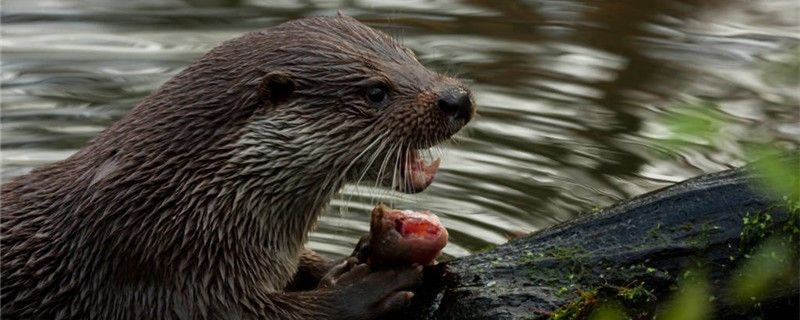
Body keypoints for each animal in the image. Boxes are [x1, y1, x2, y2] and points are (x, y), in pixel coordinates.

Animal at [0, 14, 472, 318]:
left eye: (410, 56)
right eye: (376, 92)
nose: (458, 98)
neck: (182, 206)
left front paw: (357, 254)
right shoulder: (159, 272)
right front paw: (364, 290)